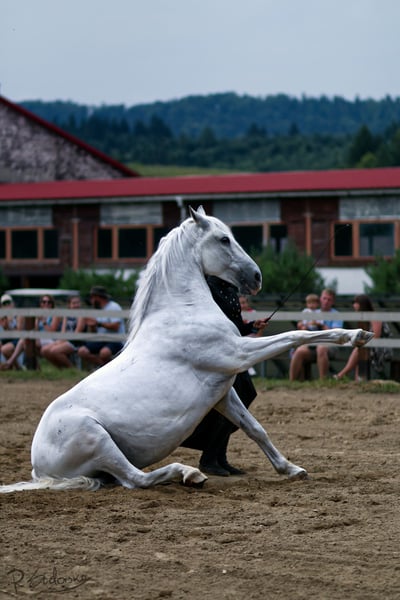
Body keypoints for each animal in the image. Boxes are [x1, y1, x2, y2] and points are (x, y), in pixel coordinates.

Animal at [0, 207, 374, 493]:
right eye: (224, 239)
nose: (256, 277)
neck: (183, 310)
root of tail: (39, 466)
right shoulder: (238, 353)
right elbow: (295, 336)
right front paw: (356, 335)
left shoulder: (223, 391)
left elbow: (255, 428)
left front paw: (292, 469)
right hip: (97, 440)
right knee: (136, 480)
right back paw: (189, 474)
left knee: (126, 480)